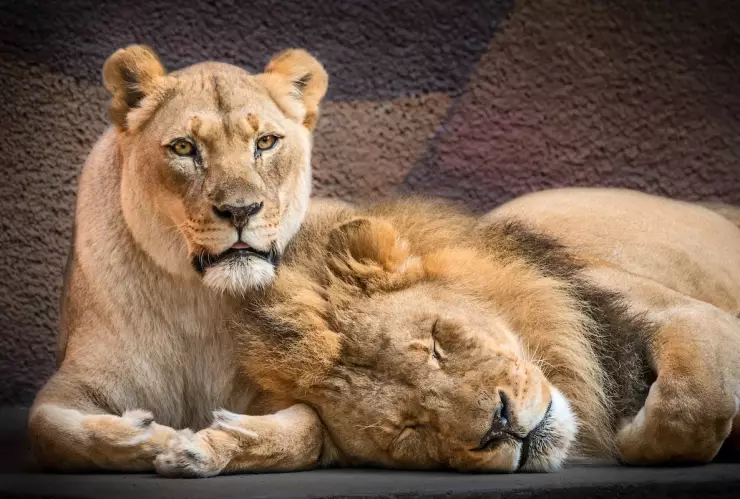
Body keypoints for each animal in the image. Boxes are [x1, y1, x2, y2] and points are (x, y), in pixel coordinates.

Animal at [28, 44, 329, 471]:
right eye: (184, 148)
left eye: (266, 142)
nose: (241, 210)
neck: (197, 300)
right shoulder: (73, 384)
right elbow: (50, 431)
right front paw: (154, 438)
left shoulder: (286, 393)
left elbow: (308, 431)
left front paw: (209, 444)